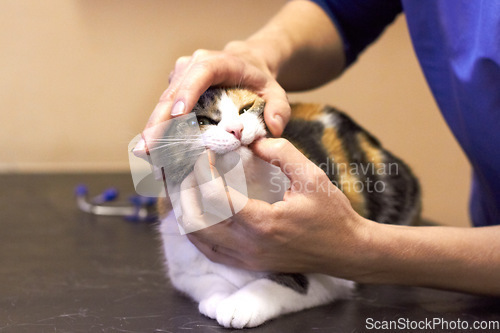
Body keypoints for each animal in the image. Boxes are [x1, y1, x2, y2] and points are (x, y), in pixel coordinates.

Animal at [156, 86, 422, 326]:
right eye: (201, 121)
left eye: (245, 108)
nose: (237, 129)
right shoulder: (181, 263)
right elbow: (208, 281)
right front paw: (218, 298)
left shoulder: (331, 273)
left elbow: (283, 282)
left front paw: (240, 304)